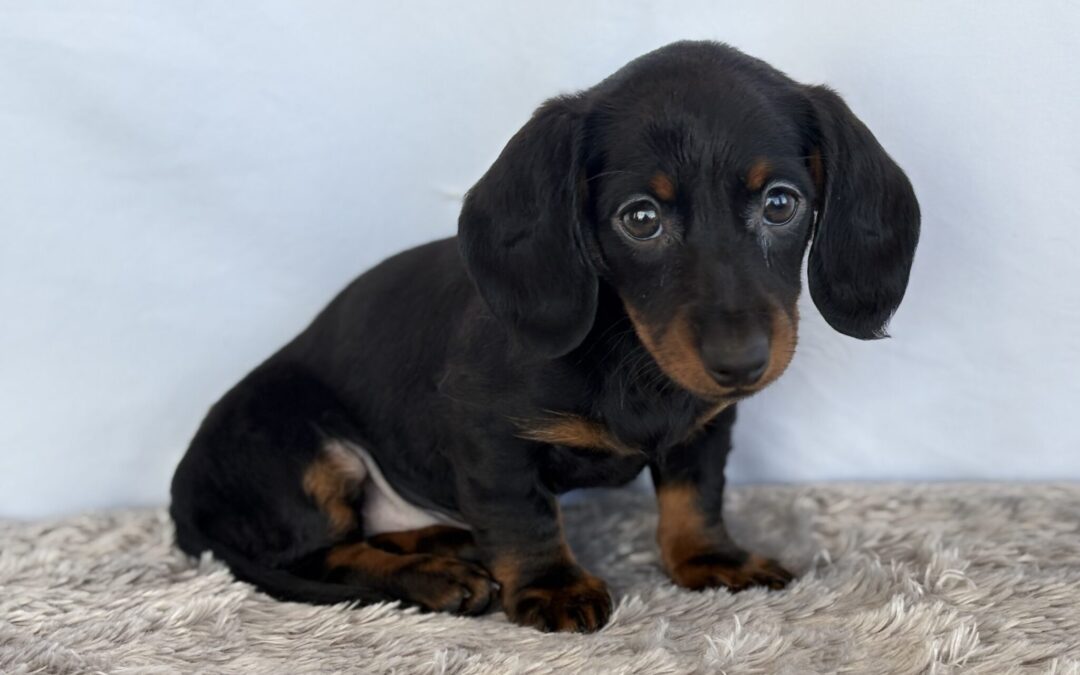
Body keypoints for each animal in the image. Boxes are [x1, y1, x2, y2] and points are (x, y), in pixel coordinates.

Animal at [170, 40, 920, 630]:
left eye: (781, 203)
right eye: (640, 218)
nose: (741, 363)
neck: (633, 355)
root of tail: (184, 505)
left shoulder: (705, 428)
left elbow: (694, 496)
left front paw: (711, 558)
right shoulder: (487, 435)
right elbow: (524, 514)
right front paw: (551, 585)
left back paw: (443, 541)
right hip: (296, 450)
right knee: (323, 552)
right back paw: (437, 575)